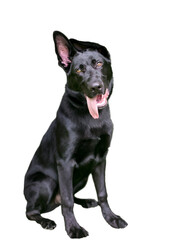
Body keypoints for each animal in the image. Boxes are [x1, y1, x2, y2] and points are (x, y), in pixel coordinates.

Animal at [23, 31, 127, 238]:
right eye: (79, 70)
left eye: (99, 63)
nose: (95, 87)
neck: (90, 117)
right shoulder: (65, 162)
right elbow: (67, 200)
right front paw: (73, 228)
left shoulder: (100, 159)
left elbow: (102, 193)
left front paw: (111, 218)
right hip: (45, 182)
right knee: (31, 211)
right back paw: (46, 221)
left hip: (83, 177)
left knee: (70, 195)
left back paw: (86, 201)